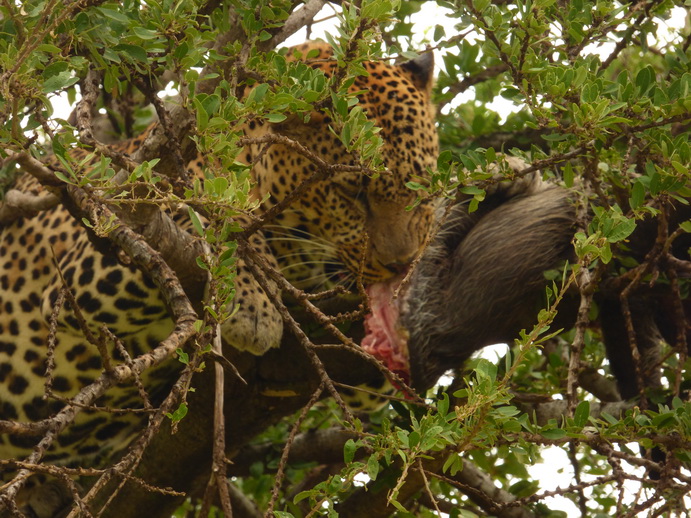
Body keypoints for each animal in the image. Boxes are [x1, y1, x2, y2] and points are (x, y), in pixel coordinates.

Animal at [0, 40, 438, 498]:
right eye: (351, 191)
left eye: (423, 188)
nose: (400, 263)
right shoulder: (92, 254)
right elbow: (213, 212)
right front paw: (254, 305)